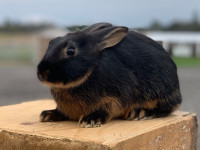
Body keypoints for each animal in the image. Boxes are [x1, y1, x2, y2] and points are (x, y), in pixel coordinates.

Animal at [37, 22, 181, 127]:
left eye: (70, 51)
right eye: (50, 43)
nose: (41, 72)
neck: (91, 70)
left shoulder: (114, 98)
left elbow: (107, 109)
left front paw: (89, 120)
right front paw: (47, 114)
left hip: (162, 92)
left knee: (166, 108)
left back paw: (139, 112)